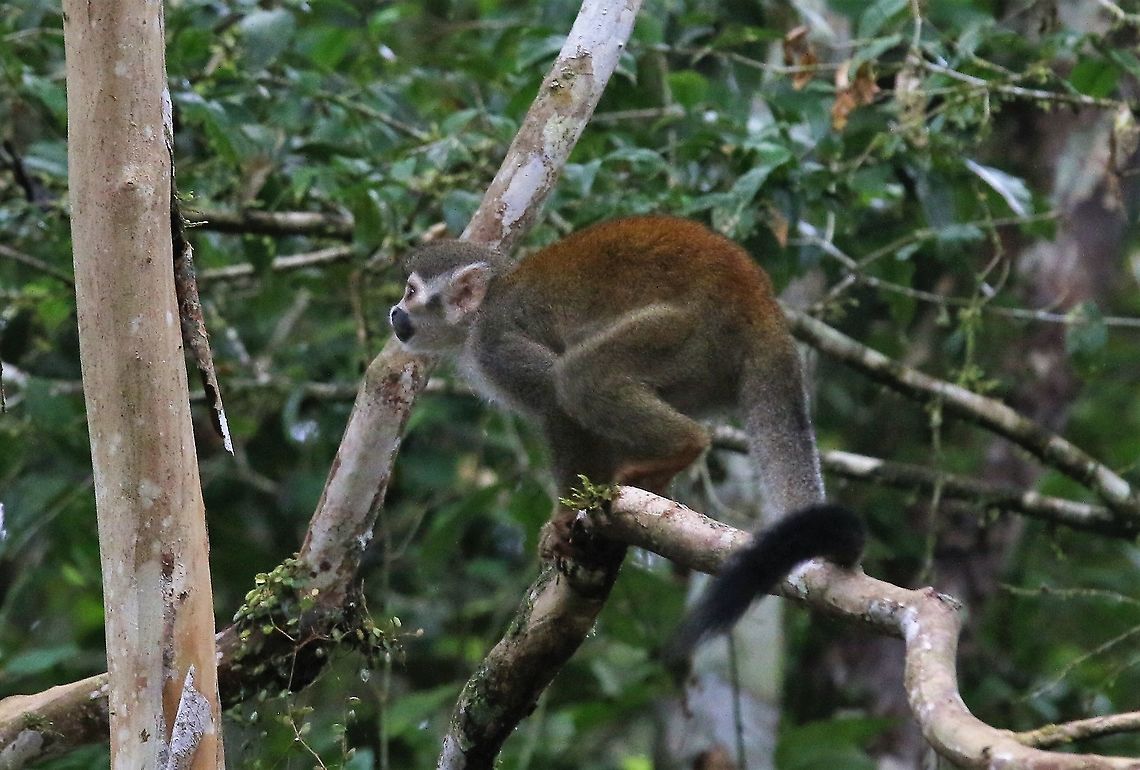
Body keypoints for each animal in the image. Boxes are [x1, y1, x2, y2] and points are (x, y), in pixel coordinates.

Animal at [389, 215, 863, 650]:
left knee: (577, 376)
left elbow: (555, 396)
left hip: (690, 335)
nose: (394, 312)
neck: (478, 316)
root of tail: (759, 302)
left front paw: (564, 517)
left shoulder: (496, 344)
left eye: (410, 292)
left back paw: (683, 446)